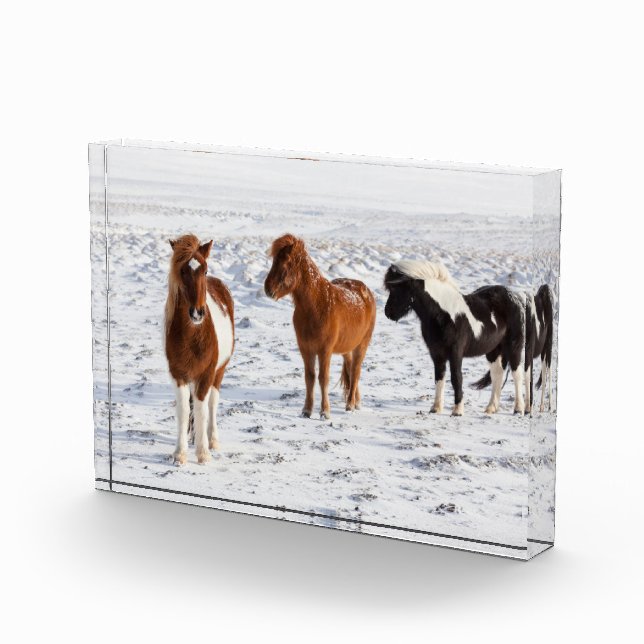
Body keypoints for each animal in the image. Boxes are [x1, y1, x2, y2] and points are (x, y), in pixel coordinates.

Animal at [165, 234, 235, 464]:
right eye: (182, 271)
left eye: (204, 270)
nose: (197, 313)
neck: (192, 336)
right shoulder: (178, 375)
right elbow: (184, 410)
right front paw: (180, 453)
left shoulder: (206, 374)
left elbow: (202, 409)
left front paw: (203, 453)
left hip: (219, 372)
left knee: (212, 403)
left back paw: (212, 440)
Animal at [264, 234, 376, 419]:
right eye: (274, 261)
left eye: (286, 263)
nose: (268, 289)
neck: (316, 306)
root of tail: (366, 291)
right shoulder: (306, 349)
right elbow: (309, 377)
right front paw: (306, 410)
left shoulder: (325, 350)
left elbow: (323, 378)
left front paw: (325, 412)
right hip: (347, 348)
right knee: (351, 370)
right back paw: (356, 401)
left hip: (362, 345)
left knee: (356, 371)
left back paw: (350, 405)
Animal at [383, 260, 526, 416]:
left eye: (397, 289)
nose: (388, 313)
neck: (444, 315)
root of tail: (514, 297)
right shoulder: (437, 353)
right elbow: (439, 377)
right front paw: (435, 408)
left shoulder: (455, 352)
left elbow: (456, 378)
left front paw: (457, 410)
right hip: (493, 351)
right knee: (497, 375)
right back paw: (490, 408)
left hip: (514, 347)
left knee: (517, 374)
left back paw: (519, 409)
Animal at [473, 283, 554, 414]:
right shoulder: (494, 351)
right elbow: (497, 373)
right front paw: (491, 406)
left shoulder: (520, 348)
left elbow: (522, 374)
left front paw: (521, 408)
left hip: (546, 347)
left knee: (546, 370)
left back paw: (544, 407)